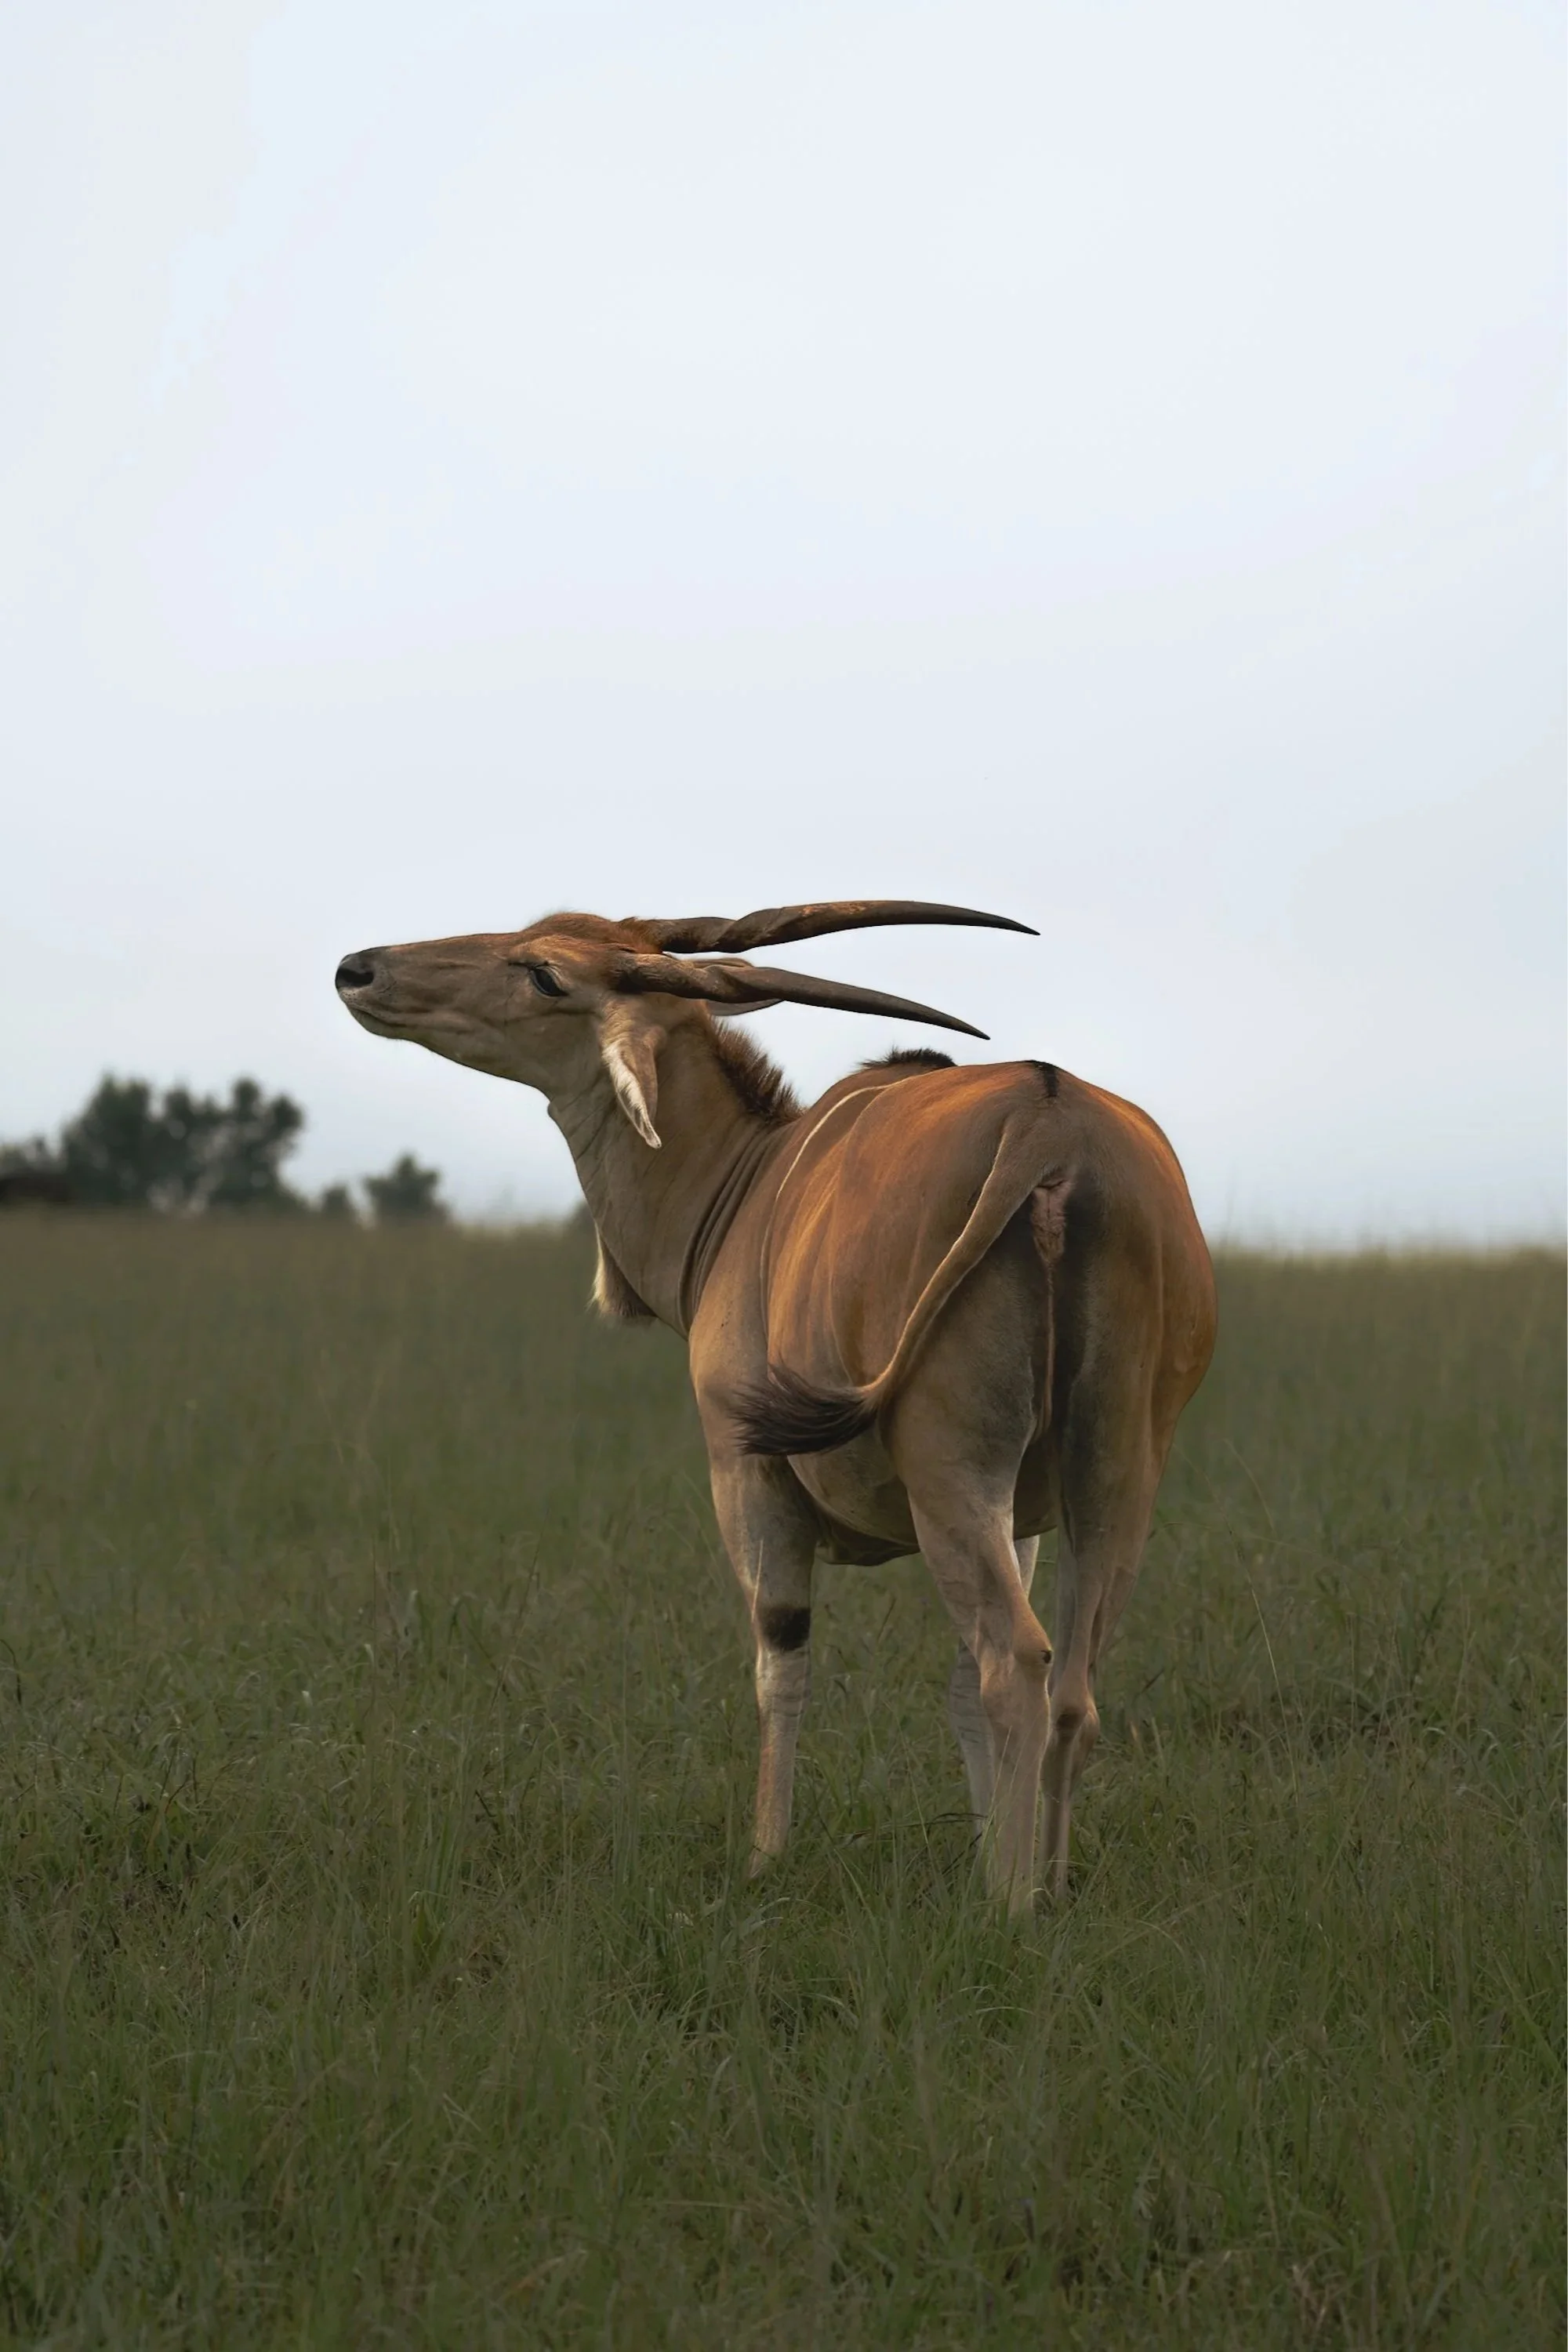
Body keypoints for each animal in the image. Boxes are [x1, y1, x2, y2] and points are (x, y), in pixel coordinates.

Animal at [335, 902, 1215, 1909]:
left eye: (546, 973)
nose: (359, 969)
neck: (745, 1183)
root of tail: (1048, 1121)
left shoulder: (745, 1472)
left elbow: (780, 1663)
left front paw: (765, 1859)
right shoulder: (1025, 1517)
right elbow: (954, 1690)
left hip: (950, 1472)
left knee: (1013, 1663)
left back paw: (1004, 1909)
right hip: (1112, 1478)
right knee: (1070, 1685)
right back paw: (1051, 1890)